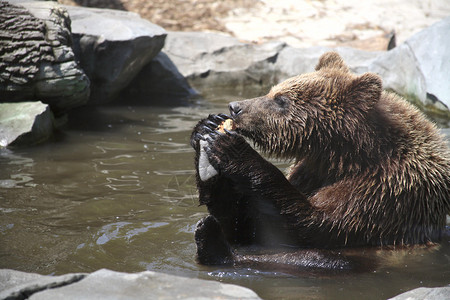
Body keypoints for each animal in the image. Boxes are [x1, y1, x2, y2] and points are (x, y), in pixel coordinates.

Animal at [190, 51, 450, 270]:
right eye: (272, 91)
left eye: (281, 100)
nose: (235, 107)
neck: (344, 156)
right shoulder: (311, 170)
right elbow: (249, 226)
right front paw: (207, 127)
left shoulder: (386, 190)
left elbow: (317, 224)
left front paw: (233, 150)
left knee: (321, 259)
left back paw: (215, 245)